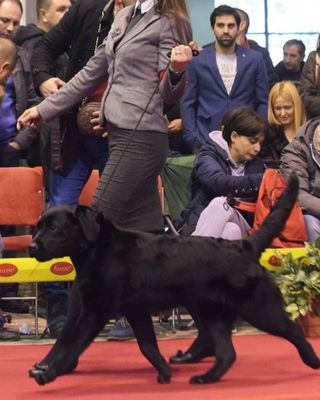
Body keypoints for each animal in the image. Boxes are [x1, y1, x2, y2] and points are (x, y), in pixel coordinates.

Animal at [28, 174, 318, 384]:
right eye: (37, 227)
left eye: (54, 228)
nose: (31, 247)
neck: (99, 250)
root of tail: (245, 245)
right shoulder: (136, 312)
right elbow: (147, 345)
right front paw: (165, 373)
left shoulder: (96, 312)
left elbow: (73, 345)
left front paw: (48, 373)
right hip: (214, 312)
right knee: (227, 353)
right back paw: (205, 378)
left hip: (258, 307)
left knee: (292, 329)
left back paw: (312, 361)